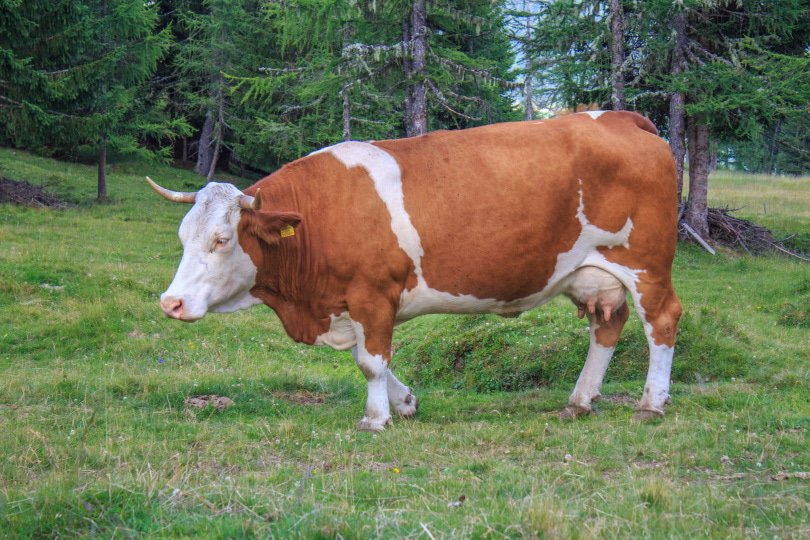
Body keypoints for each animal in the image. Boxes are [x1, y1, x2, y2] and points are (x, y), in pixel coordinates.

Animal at [148, 111, 683, 431]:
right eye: (182, 237)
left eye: (222, 239)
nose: (170, 303)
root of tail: (618, 116)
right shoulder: (354, 304)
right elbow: (368, 356)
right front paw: (403, 402)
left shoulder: (372, 293)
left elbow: (370, 361)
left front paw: (375, 417)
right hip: (592, 272)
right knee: (606, 327)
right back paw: (580, 399)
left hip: (646, 265)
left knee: (661, 321)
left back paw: (651, 403)